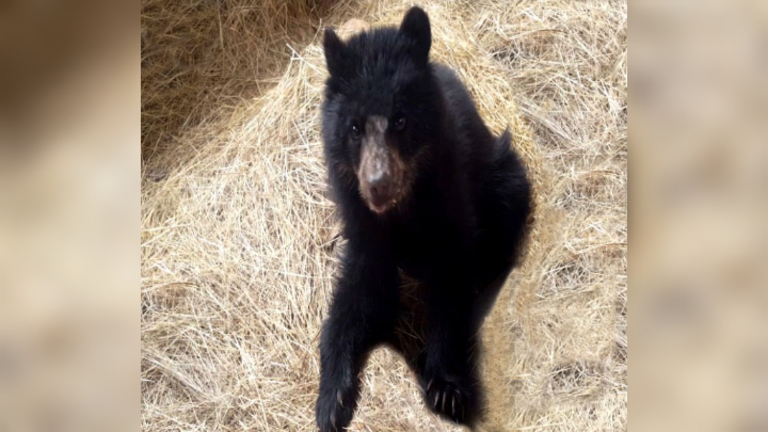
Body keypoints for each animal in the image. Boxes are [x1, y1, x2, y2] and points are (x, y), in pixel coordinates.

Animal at [315, 6, 531, 431]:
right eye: (354, 128)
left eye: (400, 121)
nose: (377, 186)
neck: (402, 209)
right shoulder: (361, 220)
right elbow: (362, 295)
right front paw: (331, 402)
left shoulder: (449, 198)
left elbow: (450, 286)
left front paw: (445, 388)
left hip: (501, 176)